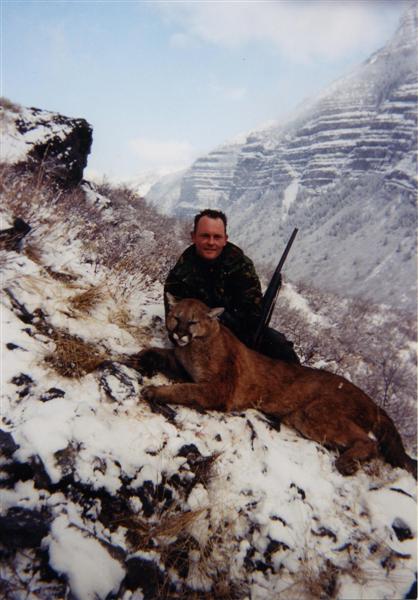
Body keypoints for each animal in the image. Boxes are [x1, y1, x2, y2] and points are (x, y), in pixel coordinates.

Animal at [129, 292, 416, 480]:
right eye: (176, 317)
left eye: (193, 321)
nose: (179, 334)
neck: (195, 346)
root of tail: (373, 402)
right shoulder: (182, 366)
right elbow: (157, 353)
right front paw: (139, 356)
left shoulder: (216, 390)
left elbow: (184, 390)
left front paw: (154, 391)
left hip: (314, 413)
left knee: (370, 443)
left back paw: (347, 462)